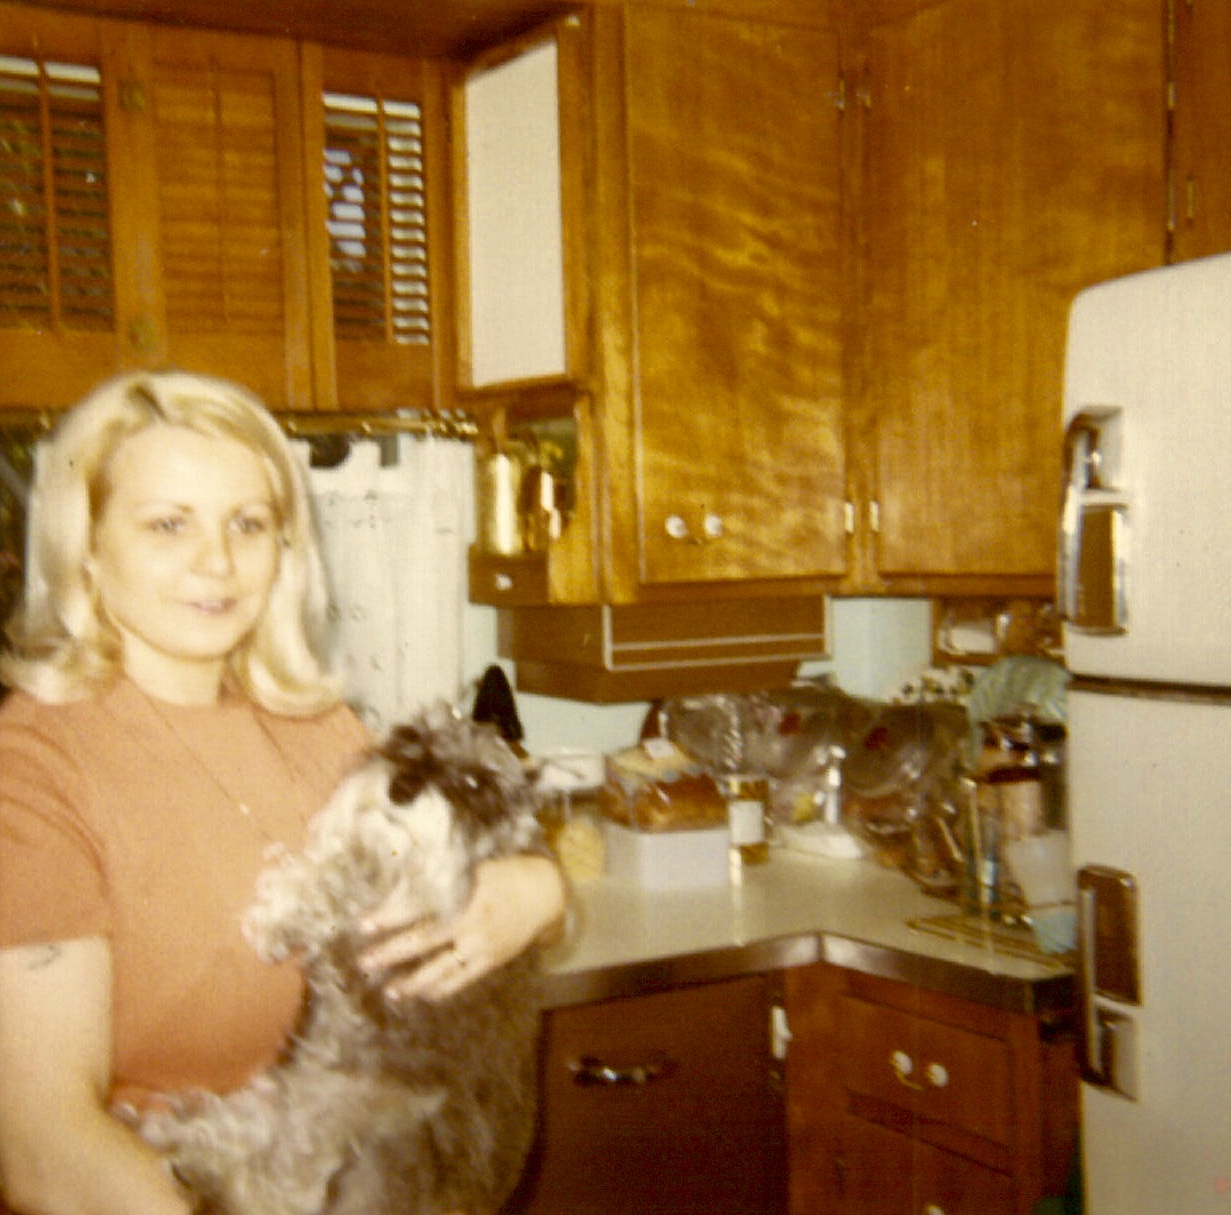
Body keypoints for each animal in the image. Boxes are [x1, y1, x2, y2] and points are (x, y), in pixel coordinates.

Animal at [120, 708, 546, 1215]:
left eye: (475, 781)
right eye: (409, 738)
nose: (402, 785)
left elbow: (342, 877)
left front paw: (278, 915)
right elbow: (348, 856)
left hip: (339, 1107)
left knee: (275, 1190)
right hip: (290, 1097)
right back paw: (166, 1136)